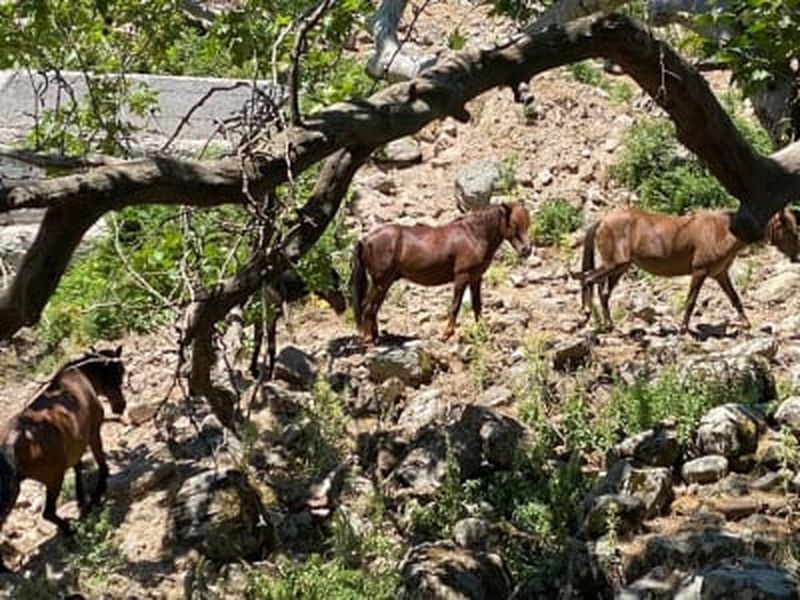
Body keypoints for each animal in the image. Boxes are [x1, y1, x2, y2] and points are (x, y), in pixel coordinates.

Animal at [0, 347, 126, 573]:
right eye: (118, 373)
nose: (121, 406)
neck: (80, 376)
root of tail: (11, 441)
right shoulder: (93, 433)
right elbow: (101, 462)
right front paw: (96, 494)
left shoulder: (75, 444)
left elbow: (78, 468)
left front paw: (82, 500)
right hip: (53, 478)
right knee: (48, 513)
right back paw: (69, 529)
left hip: (12, 493)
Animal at [350, 202, 532, 344]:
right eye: (514, 224)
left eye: (528, 223)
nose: (527, 250)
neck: (474, 235)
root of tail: (366, 239)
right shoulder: (462, 277)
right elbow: (455, 306)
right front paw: (446, 334)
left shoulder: (476, 279)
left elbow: (477, 306)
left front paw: (481, 331)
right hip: (380, 281)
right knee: (367, 306)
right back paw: (368, 338)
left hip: (385, 282)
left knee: (373, 307)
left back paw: (375, 337)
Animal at [577, 208, 799, 332]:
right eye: (787, 227)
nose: (796, 256)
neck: (721, 232)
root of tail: (602, 220)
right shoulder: (699, 271)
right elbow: (691, 301)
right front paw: (683, 328)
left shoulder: (720, 274)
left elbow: (735, 298)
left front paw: (746, 324)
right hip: (614, 265)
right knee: (589, 279)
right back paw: (586, 315)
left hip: (619, 268)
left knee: (603, 291)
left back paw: (608, 325)